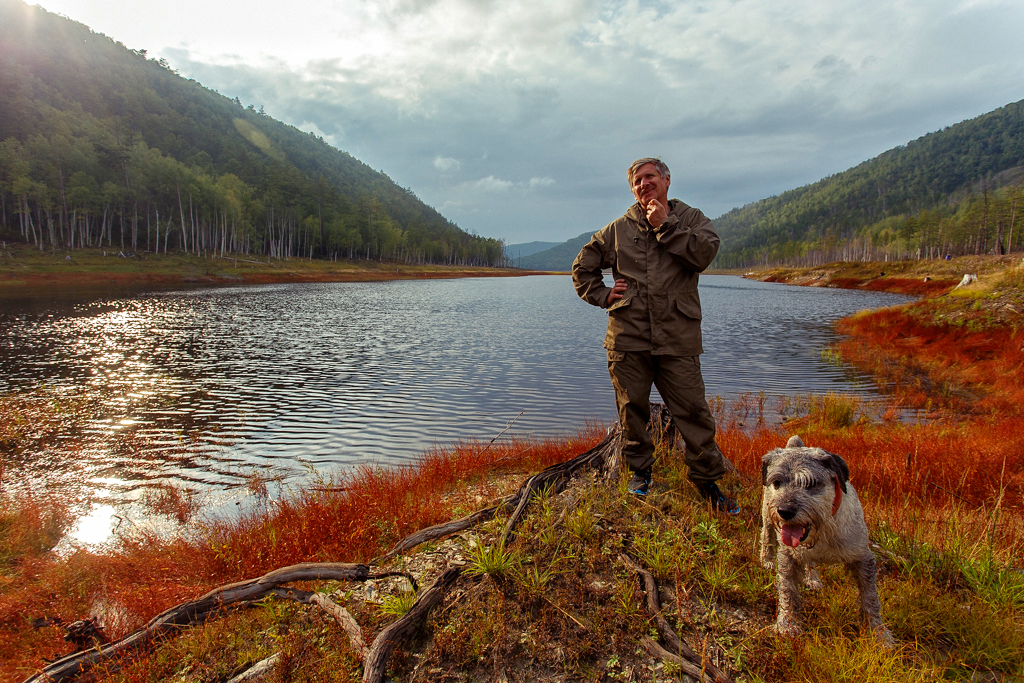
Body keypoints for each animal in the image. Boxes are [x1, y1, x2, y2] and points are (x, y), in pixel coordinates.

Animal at [757, 436, 892, 643]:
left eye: (810, 483)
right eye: (777, 482)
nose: (785, 511)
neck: (824, 529)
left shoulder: (863, 558)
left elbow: (870, 598)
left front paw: (878, 633)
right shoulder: (788, 556)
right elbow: (788, 591)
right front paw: (787, 624)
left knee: (809, 562)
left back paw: (812, 578)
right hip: (768, 517)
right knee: (767, 537)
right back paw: (767, 560)